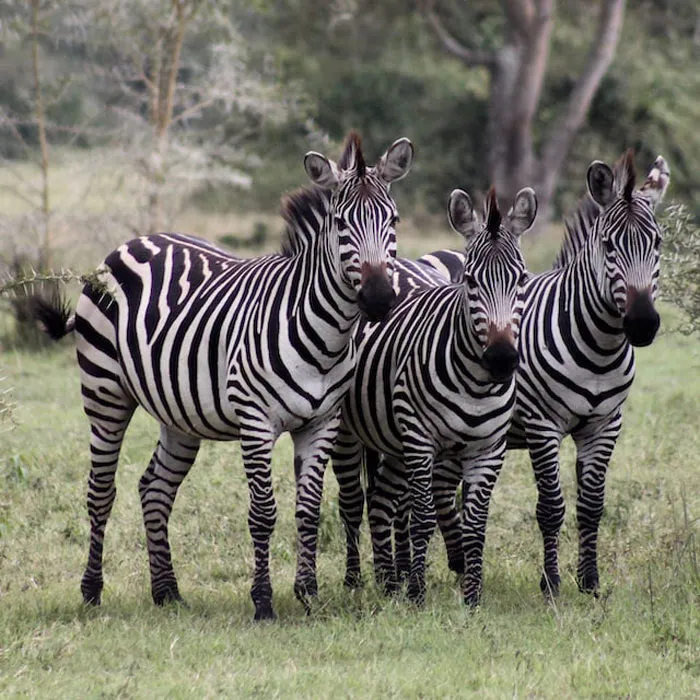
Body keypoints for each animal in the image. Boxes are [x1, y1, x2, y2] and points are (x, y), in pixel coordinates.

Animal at [31, 131, 414, 620]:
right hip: (105, 394)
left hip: (177, 412)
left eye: (394, 220)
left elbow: (308, 510)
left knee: (154, 489)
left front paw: (308, 594)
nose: (380, 299)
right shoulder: (256, 421)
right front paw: (264, 601)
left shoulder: (322, 423)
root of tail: (131, 243)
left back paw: (167, 591)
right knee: (101, 491)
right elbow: (264, 512)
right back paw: (92, 590)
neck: (324, 334)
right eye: (340, 224)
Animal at [331, 185, 537, 606]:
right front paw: (417, 593)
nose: (501, 359)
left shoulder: (489, 449)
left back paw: (387, 583)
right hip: (352, 434)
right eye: (470, 281)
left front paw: (473, 596)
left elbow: (475, 523)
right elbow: (424, 518)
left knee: (381, 504)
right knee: (352, 504)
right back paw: (357, 580)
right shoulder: (421, 439)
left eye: (522, 279)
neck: (477, 385)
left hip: (394, 443)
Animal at [405, 151, 670, 599]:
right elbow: (550, 507)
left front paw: (590, 582)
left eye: (658, 243)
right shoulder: (542, 424)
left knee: (443, 488)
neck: (598, 348)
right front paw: (551, 584)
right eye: (608, 245)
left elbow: (592, 505)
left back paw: (460, 565)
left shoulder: (605, 425)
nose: (642, 324)